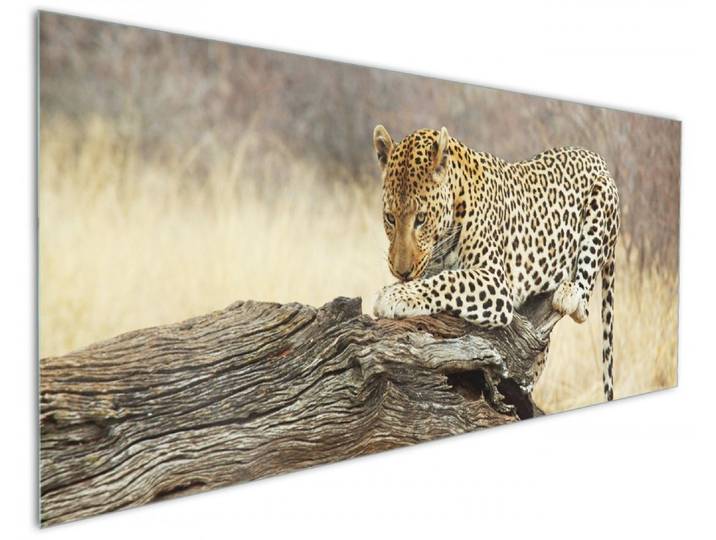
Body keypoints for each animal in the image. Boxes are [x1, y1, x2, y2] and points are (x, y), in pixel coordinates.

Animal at [371, 125, 620, 401]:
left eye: (421, 219)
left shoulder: (495, 281)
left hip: (602, 202)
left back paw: (569, 292)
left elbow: (448, 280)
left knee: (583, 305)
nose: (401, 271)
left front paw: (394, 296)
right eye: (390, 218)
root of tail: (596, 156)